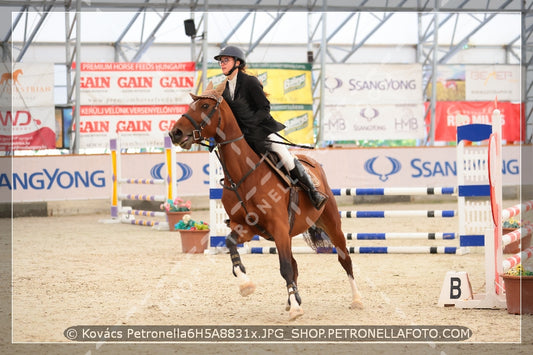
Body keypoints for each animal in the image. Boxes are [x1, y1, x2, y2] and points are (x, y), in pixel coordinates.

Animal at [169, 82, 362, 320]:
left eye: (205, 105)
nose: (175, 133)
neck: (243, 176)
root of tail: (312, 161)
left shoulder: (278, 227)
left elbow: (285, 267)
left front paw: (295, 309)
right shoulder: (246, 227)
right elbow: (231, 243)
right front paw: (246, 284)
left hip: (331, 223)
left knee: (344, 259)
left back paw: (356, 299)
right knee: (295, 264)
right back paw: (293, 298)